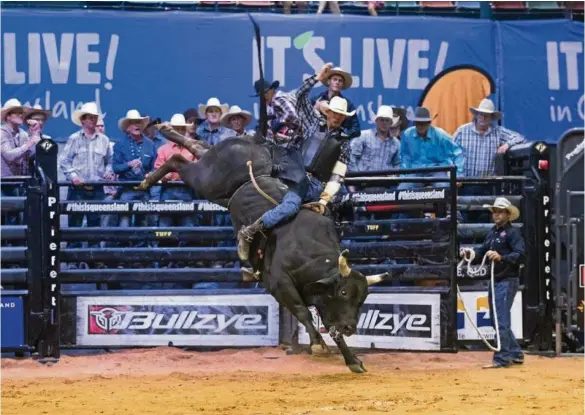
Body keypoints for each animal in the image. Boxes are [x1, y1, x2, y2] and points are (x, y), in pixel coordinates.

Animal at [135, 132, 386, 376]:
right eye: (343, 292)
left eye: (363, 298)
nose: (351, 327)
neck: (312, 255)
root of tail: (254, 142)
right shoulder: (278, 284)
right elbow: (302, 311)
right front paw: (318, 345)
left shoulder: (325, 301)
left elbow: (331, 328)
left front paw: (353, 360)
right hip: (208, 179)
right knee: (179, 160)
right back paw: (152, 169)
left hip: (214, 183)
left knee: (197, 146)